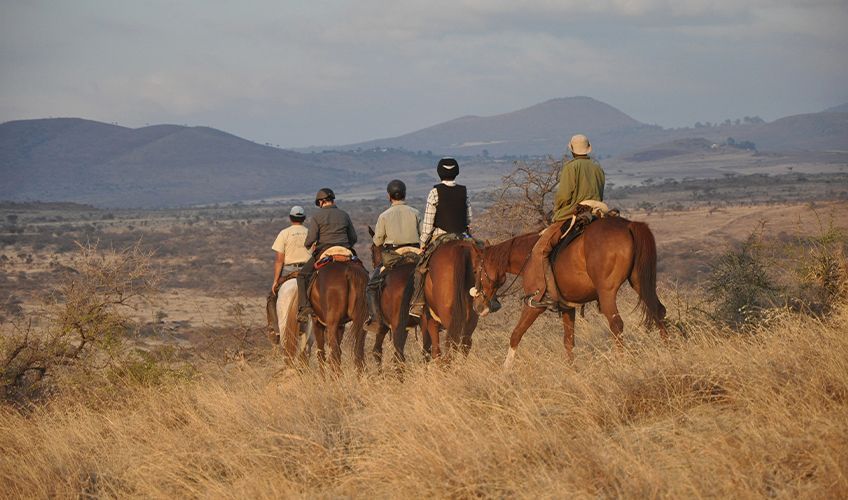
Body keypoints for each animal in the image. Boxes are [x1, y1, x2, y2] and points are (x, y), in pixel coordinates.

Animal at [471, 216, 668, 368]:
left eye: (475, 271)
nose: (477, 306)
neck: (528, 255)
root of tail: (628, 225)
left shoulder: (534, 304)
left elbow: (516, 334)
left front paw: (505, 371)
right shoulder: (567, 307)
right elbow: (568, 341)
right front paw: (572, 370)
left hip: (607, 293)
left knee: (617, 325)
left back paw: (622, 364)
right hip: (639, 283)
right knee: (658, 311)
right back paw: (668, 351)